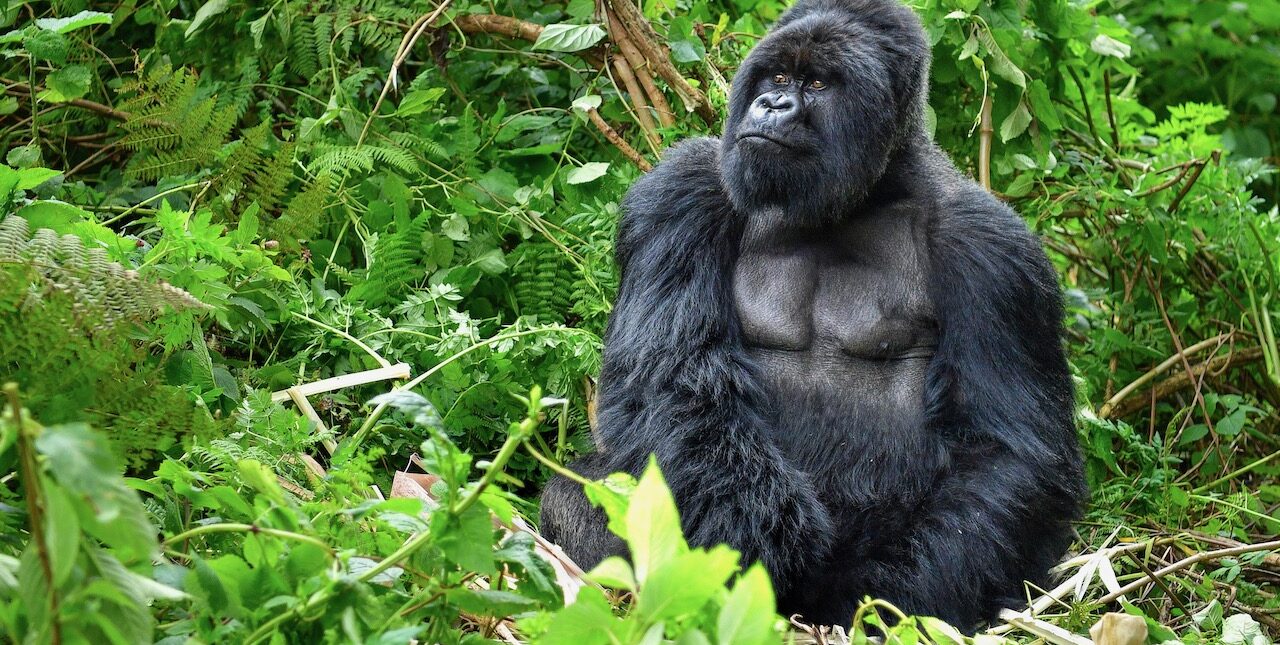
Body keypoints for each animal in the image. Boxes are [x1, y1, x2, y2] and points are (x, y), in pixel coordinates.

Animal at [535, 0, 1085, 629]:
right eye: (777, 77)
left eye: (818, 84)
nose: (774, 105)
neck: (863, 194)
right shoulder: (682, 190)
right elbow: (670, 381)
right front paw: (758, 533)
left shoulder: (993, 250)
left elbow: (1010, 452)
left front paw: (882, 598)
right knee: (576, 495)